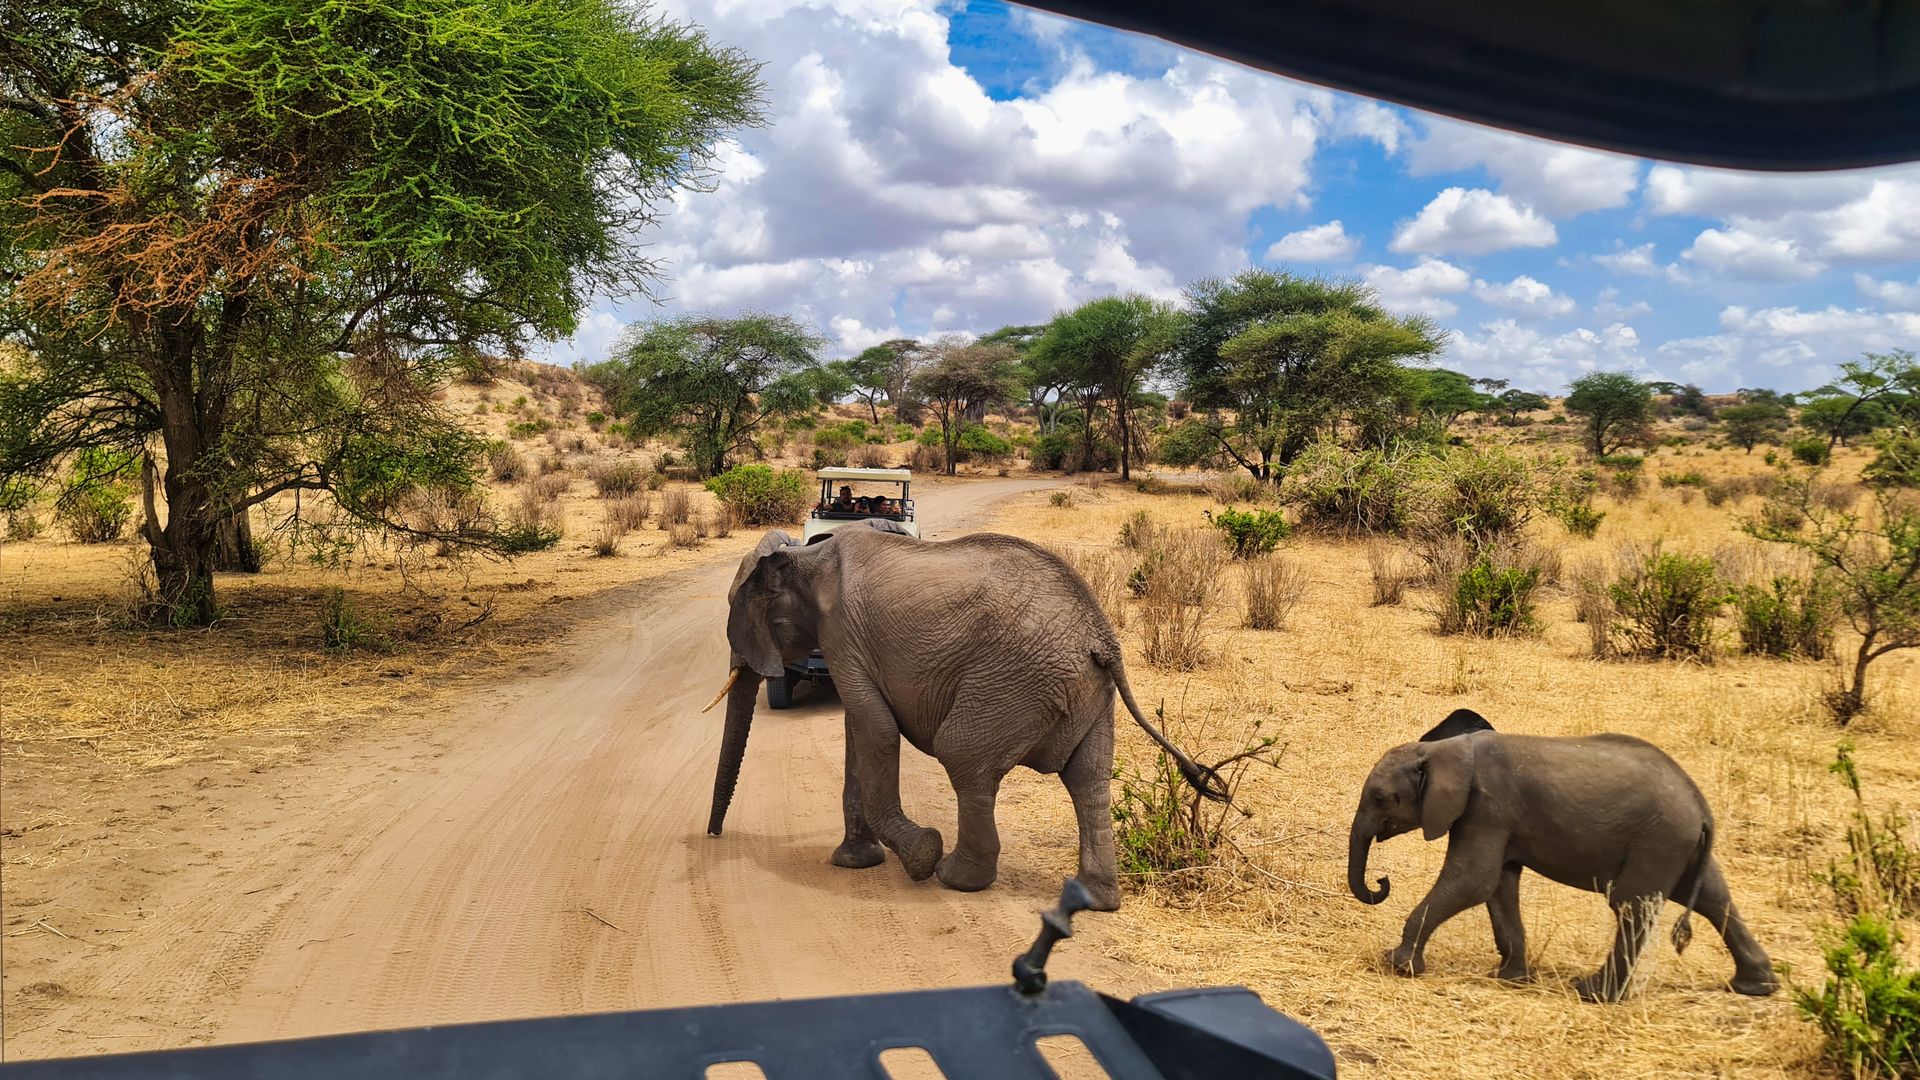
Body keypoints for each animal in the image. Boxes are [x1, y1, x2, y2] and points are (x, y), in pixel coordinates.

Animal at [702, 518, 1213, 903]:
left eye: (737, 607)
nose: (713, 838)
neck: (807, 557)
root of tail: (1101, 638)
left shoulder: (843, 638)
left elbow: (874, 729)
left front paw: (921, 856)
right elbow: (859, 729)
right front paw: (854, 863)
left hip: (1011, 681)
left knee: (963, 755)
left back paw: (956, 878)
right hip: (1088, 692)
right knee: (1088, 779)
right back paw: (1094, 898)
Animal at [1344, 707, 1774, 999]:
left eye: (1381, 799)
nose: (1381, 881)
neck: (1442, 751)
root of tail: (1701, 808)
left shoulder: (1486, 808)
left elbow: (1472, 882)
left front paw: (1396, 964)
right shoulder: (1494, 820)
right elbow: (1498, 886)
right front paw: (1512, 978)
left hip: (1658, 840)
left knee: (1631, 906)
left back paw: (1593, 993)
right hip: (1678, 846)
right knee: (1713, 898)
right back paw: (1756, 986)